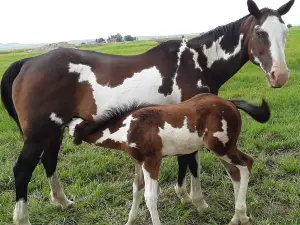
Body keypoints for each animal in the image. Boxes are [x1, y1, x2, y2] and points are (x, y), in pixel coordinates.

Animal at [69, 92, 270, 224]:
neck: (129, 128)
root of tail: (229, 103)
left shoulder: (152, 161)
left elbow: (150, 197)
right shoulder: (139, 163)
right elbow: (136, 189)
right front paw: (130, 221)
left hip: (222, 147)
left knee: (246, 165)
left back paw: (240, 212)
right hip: (223, 149)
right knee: (235, 173)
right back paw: (238, 218)